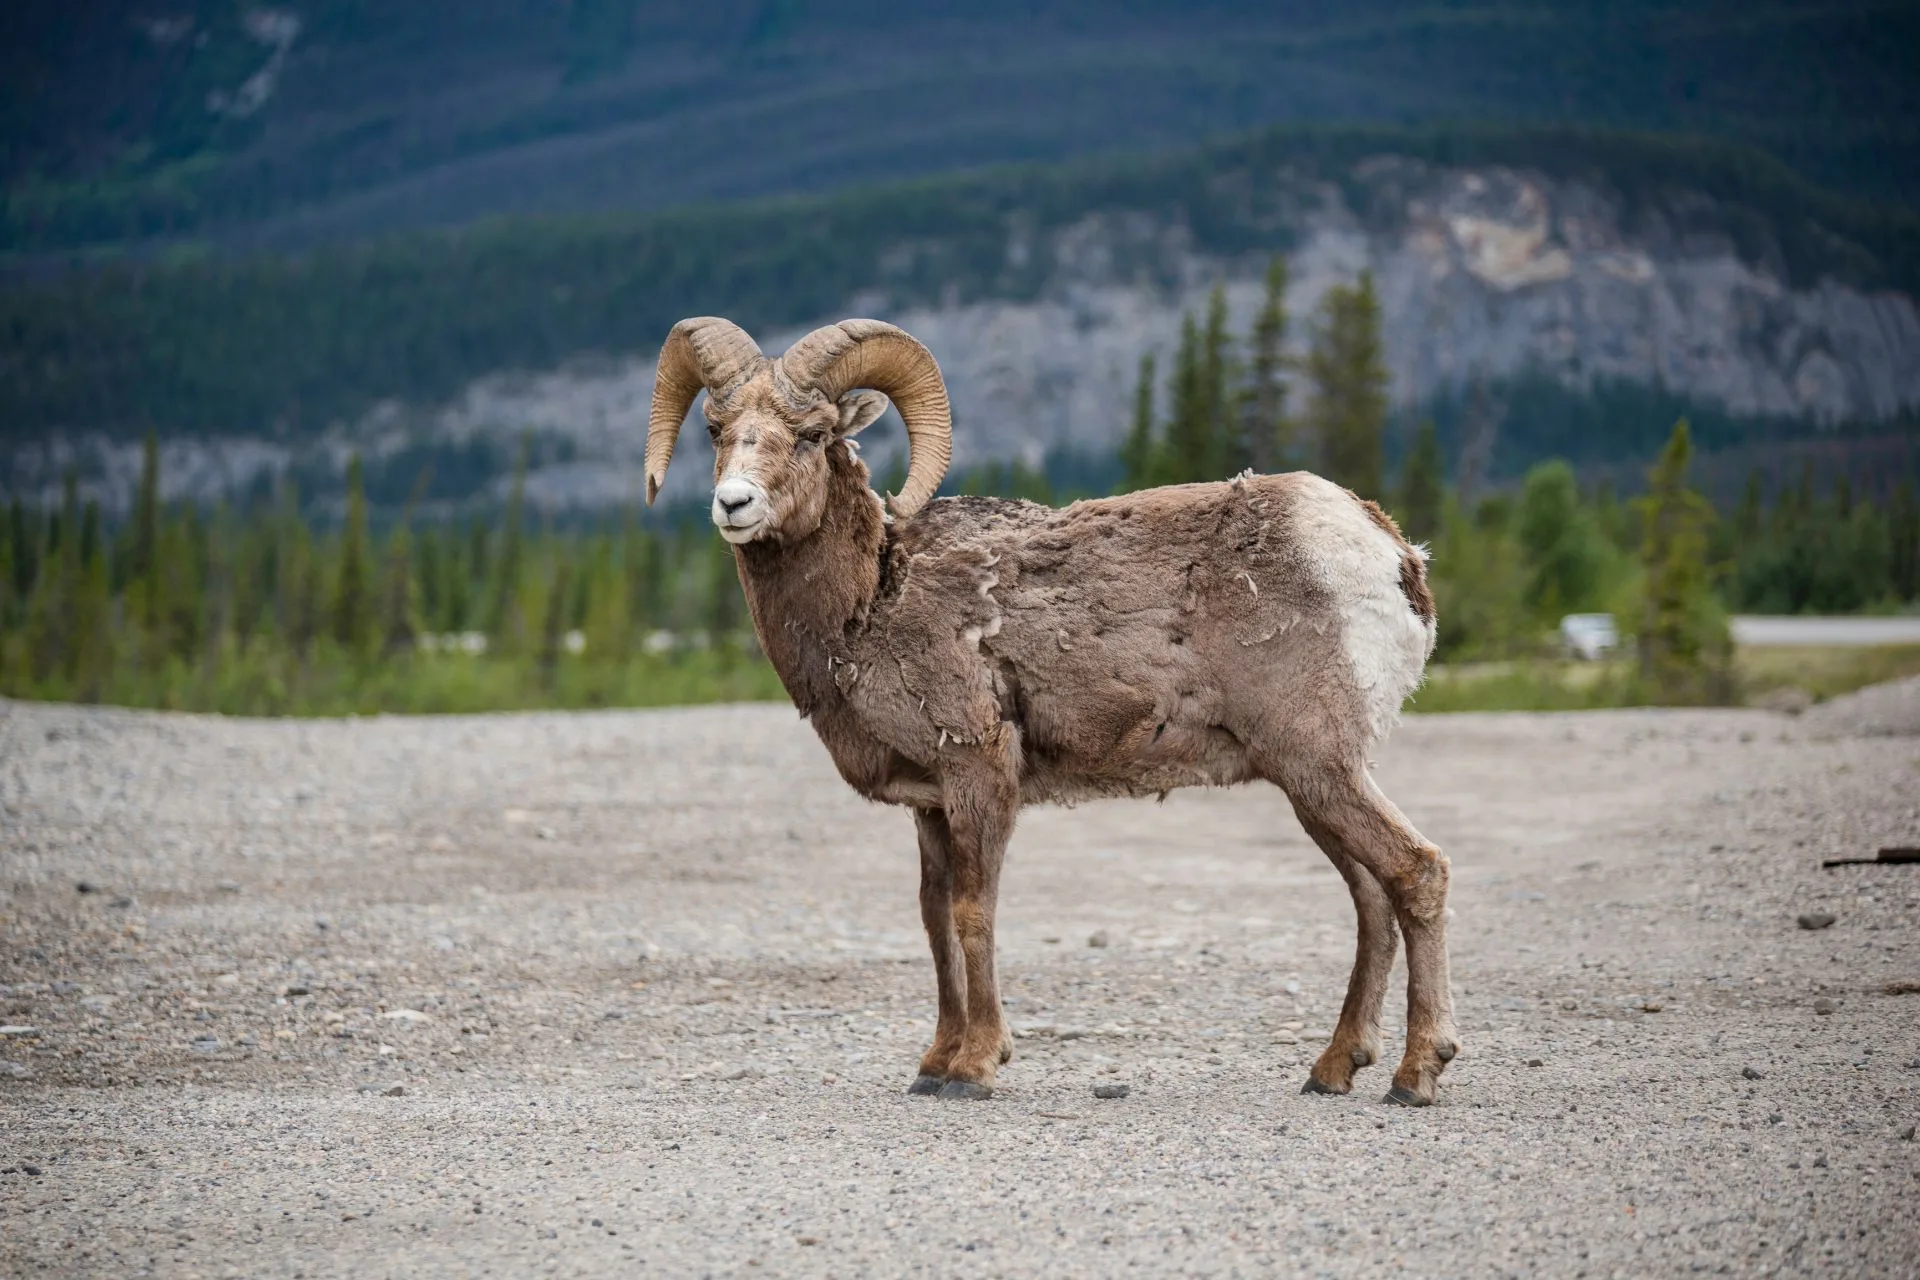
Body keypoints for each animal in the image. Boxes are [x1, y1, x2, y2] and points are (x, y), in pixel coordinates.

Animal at [644, 315, 1460, 1105]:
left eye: (812, 432)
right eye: (716, 429)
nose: (734, 505)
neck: (874, 596)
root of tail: (1394, 555)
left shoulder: (980, 776)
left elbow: (974, 912)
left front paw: (975, 1069)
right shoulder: (930, 803)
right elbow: (934, 917)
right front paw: (933, 1064)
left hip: (1319, 765)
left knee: (1416, 872)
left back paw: (1414, 1076)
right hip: (1308, 783)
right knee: (1371, 897)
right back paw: (1334, 1068)